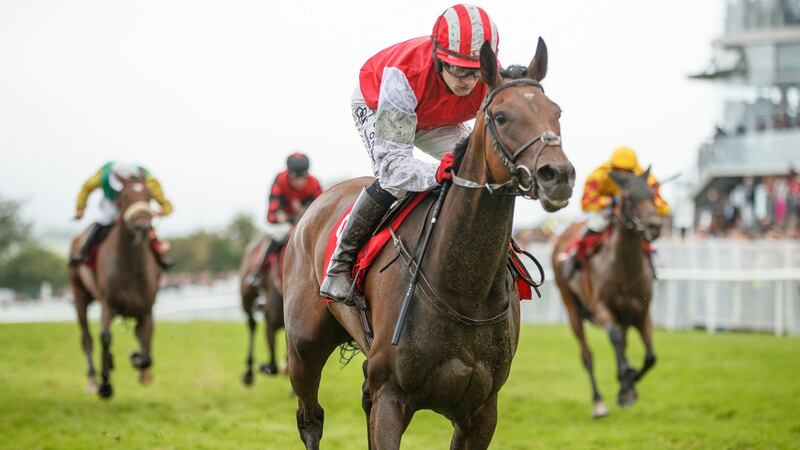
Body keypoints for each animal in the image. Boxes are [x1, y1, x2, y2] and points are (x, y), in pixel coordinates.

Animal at [69, 174, 162, 400]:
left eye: (149, 196)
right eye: (125, 196)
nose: (142, 227)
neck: (131, 267)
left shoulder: (146, 310)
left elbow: (146, 349)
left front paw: (137, 360)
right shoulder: (108, 305)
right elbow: (105, 338)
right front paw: (105, 385)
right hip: (79, 294)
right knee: (87, 338)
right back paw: (93, 380)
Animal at [239, 234, 286, 384]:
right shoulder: (271, 320)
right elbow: (274, 366)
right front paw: (268, 367)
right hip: (246, 296)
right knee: (252, 323)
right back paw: (249, 372)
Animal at [284, 39, 572, 450]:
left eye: (556, 111)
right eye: (501, 116)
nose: (557, 175)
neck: (463, 291)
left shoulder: (480, 412)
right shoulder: (390, 396)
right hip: (303, 349)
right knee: (310, 418)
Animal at [552, 170, 664, 418]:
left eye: (652, 195)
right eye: (628, 197)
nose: (654, 226)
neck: (624, 268)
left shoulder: (641, 312)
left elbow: (650, 357)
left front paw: (628, 387)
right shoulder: (602, 308)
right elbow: (614, 338)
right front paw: (625, 382)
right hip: (571, 307)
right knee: (587, 355)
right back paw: (599, 401)